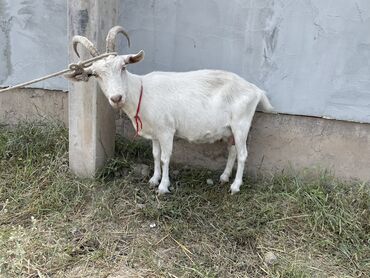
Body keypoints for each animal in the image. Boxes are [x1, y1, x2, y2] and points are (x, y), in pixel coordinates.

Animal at [66, 27, 274, 194]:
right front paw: (153, 179)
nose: (116, 98)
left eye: (123, 66)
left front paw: (163, 186)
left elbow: (166, 158)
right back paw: (224, 177)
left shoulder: (167, 130)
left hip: (241, 124)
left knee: (243, 154)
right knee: (232, 150)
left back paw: (236, 186)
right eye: (95, 74)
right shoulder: (155, 133)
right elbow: (156, 155)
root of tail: (256, 90)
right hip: (229, 128)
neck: (140, 91)